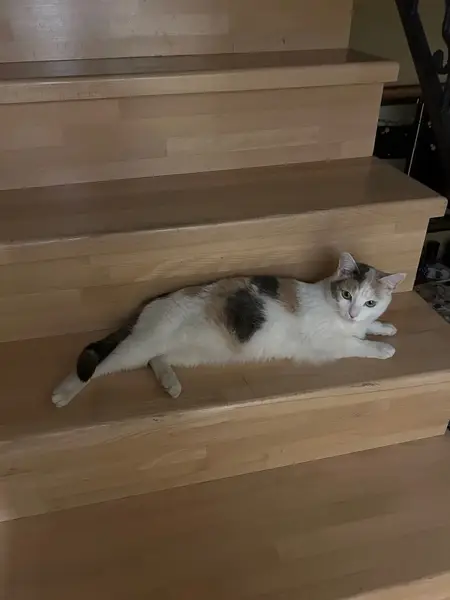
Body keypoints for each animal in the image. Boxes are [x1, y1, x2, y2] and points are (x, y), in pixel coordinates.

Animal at [52, 252, 405, 408]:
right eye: (346, 295)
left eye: (370, 302)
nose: (353, 313)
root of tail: (150, 302)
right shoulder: (326, 344)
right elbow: (357, 344)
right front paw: (383, 347)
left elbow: (367, 330)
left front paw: (384, 327)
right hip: (139, 345)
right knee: (101, 365)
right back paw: (63, 393)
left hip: (187, 351)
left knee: (157, 359)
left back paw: (171, 384)